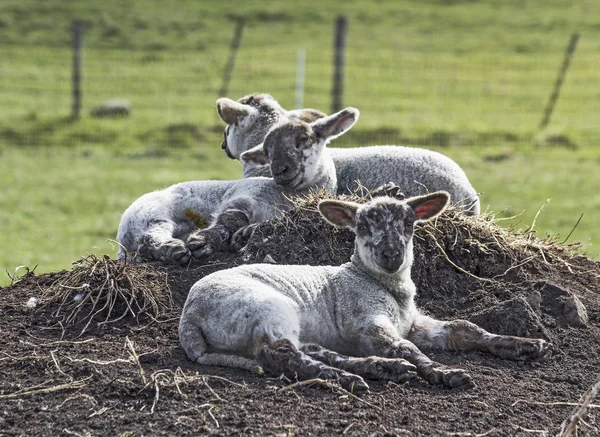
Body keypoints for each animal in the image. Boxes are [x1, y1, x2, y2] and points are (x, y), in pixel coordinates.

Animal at [179, 191, 552, 392]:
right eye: (361, 226)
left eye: (409, 224)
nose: (391, 254)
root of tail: (188, 318)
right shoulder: (367, 322)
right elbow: (406, 348)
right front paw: (444, 373)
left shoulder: (414, 322)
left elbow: (465, 329)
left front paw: (524, 345)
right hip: (265, 308)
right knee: (282, 355)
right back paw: (345, 378)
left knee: (309, 349)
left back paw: (378, 369)